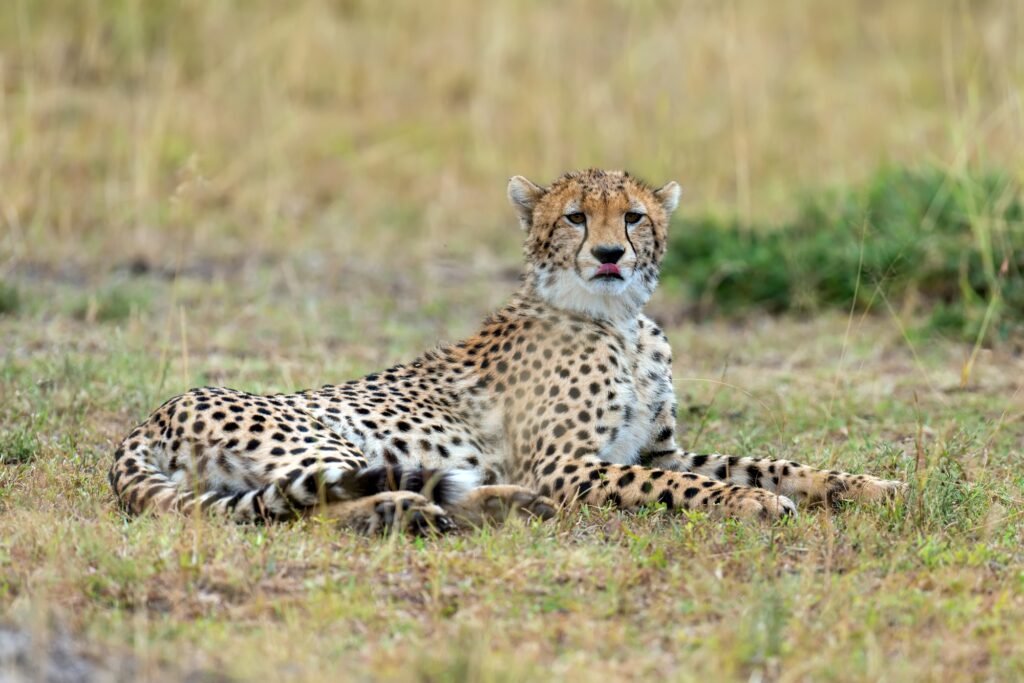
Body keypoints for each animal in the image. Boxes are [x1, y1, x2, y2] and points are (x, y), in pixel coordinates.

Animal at [109, 169, 905, 533]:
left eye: (634, 217)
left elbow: (768, 461)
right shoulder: (571, 465)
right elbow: (686, 487)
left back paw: (495, 502)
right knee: (317, 505)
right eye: (576, 217)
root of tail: (152, 415)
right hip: (329, 436)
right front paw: (752, 503)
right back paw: (435, 508)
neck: (620, 323)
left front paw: (866, 484)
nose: (610, 255)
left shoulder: (661, 450)